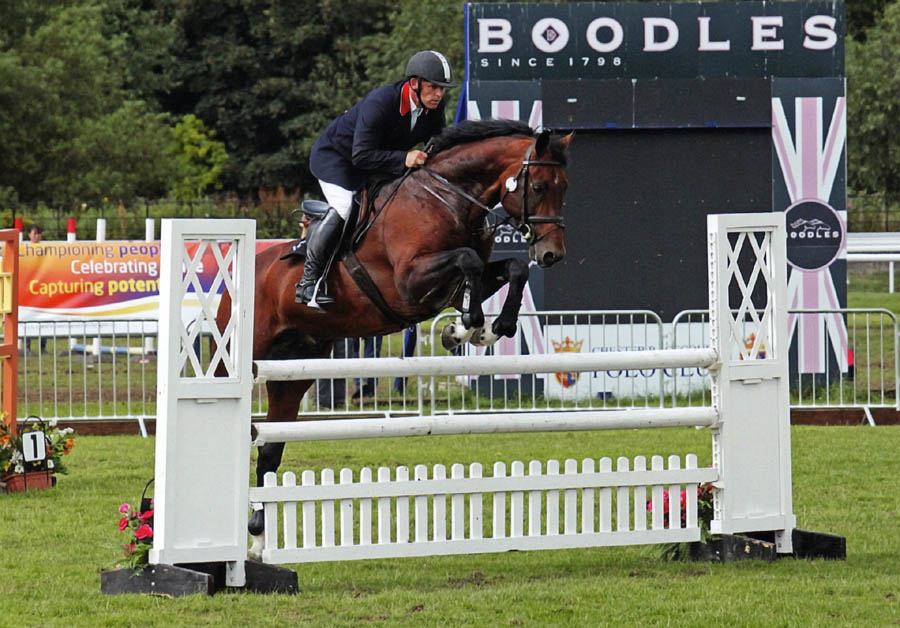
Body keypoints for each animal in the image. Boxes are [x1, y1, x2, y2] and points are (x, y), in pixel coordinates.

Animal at [214, 121, 572, 540]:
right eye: (539, 187)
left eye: (564, 187)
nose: (552, 254)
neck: (451, 199)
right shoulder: (410, 282)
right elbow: (467, 260)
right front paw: (467, 326)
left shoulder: (458, 282)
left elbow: (512, 268)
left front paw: (483, 329)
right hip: (237, 356)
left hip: (295, 369)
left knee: (271, 445)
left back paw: (257, 523)